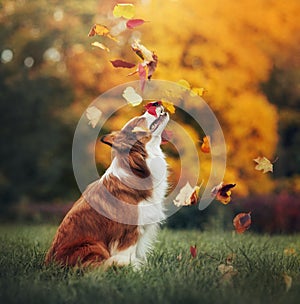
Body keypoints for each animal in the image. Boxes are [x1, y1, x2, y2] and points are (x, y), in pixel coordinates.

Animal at [44, 102, 169, 268]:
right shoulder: (129, 231)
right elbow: (127, 255)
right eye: (139, 120)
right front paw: (133, 270)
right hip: (93, 246)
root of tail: (48, 264)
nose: (156, 103)